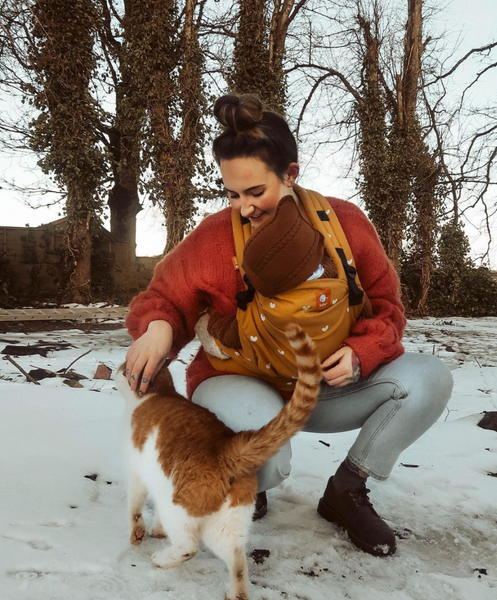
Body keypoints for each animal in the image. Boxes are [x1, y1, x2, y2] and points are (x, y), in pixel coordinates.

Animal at [118, 324, 324, 600]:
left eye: (124, 367)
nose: (116, 370)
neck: (160, 393)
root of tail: (228, 448)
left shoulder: (137, 474)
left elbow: (135, 508)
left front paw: (138, 535)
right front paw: (157, 531)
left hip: (179, 510)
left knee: (189, 546)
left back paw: (161, 559)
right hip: (227, 525)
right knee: (237, 559)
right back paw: (236, 593)